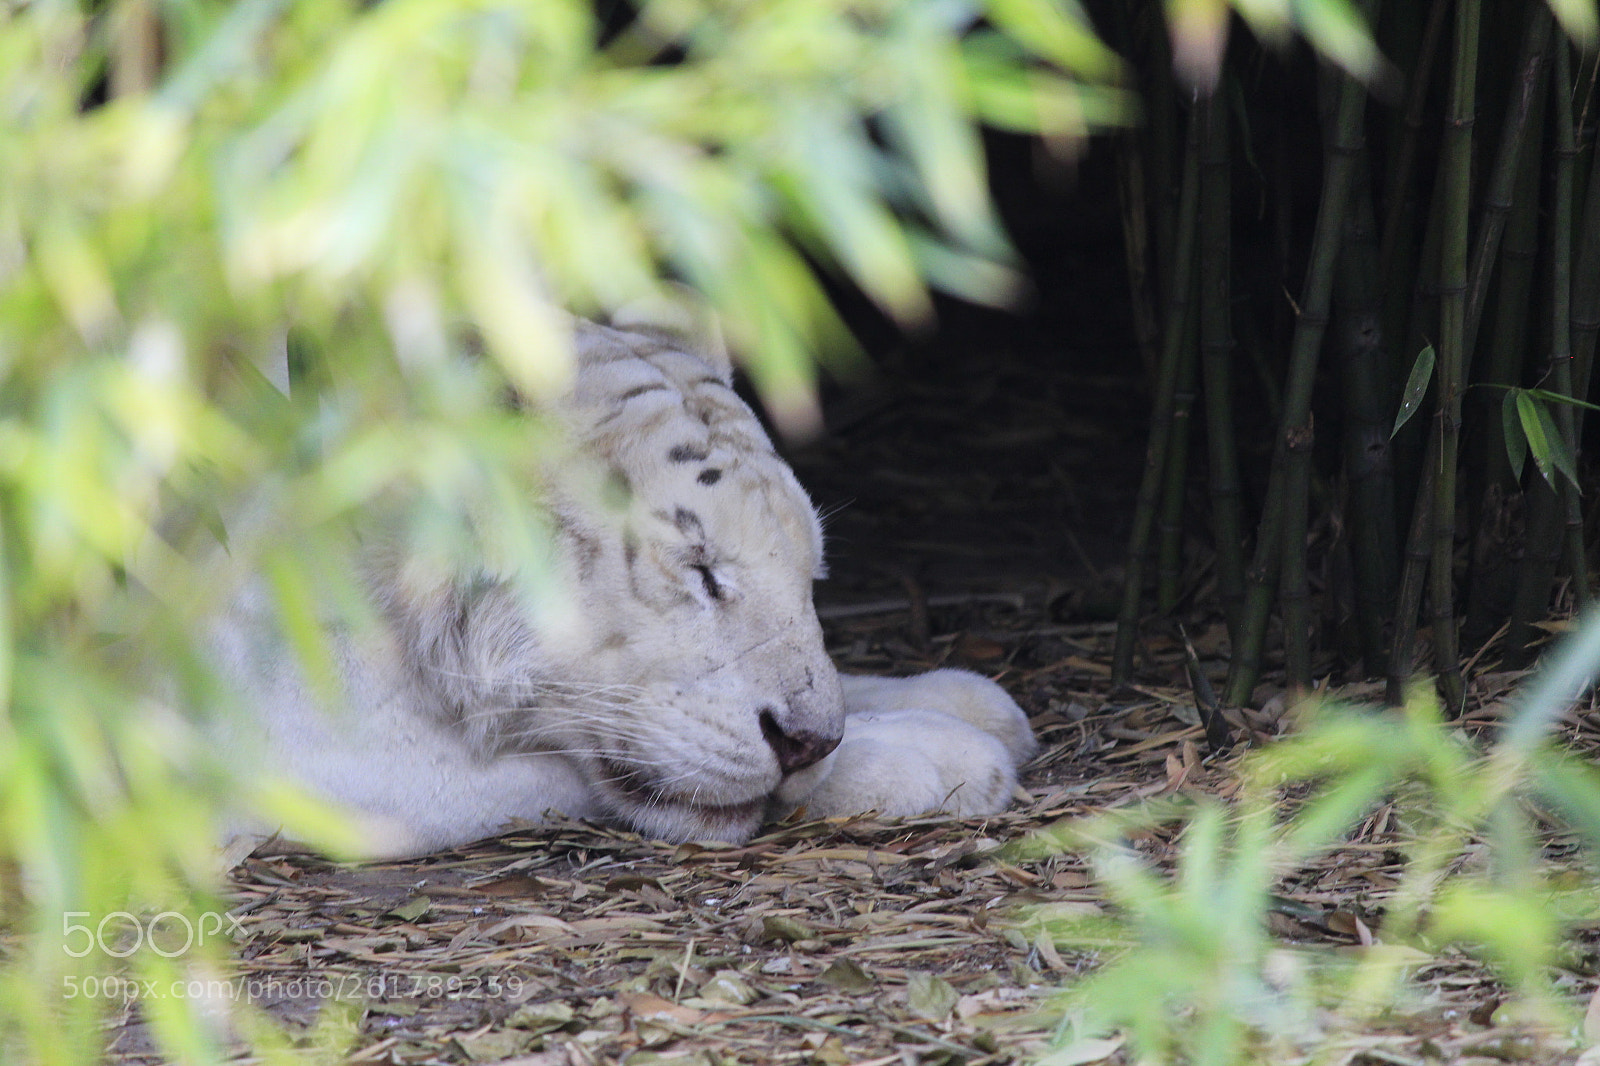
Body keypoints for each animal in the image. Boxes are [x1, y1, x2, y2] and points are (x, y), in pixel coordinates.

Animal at [213, 316, 1037, 858]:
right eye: (701, 569)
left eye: (810, 577)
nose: (808, 743)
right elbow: (559, 771)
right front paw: (935, 758)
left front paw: (972, 706)